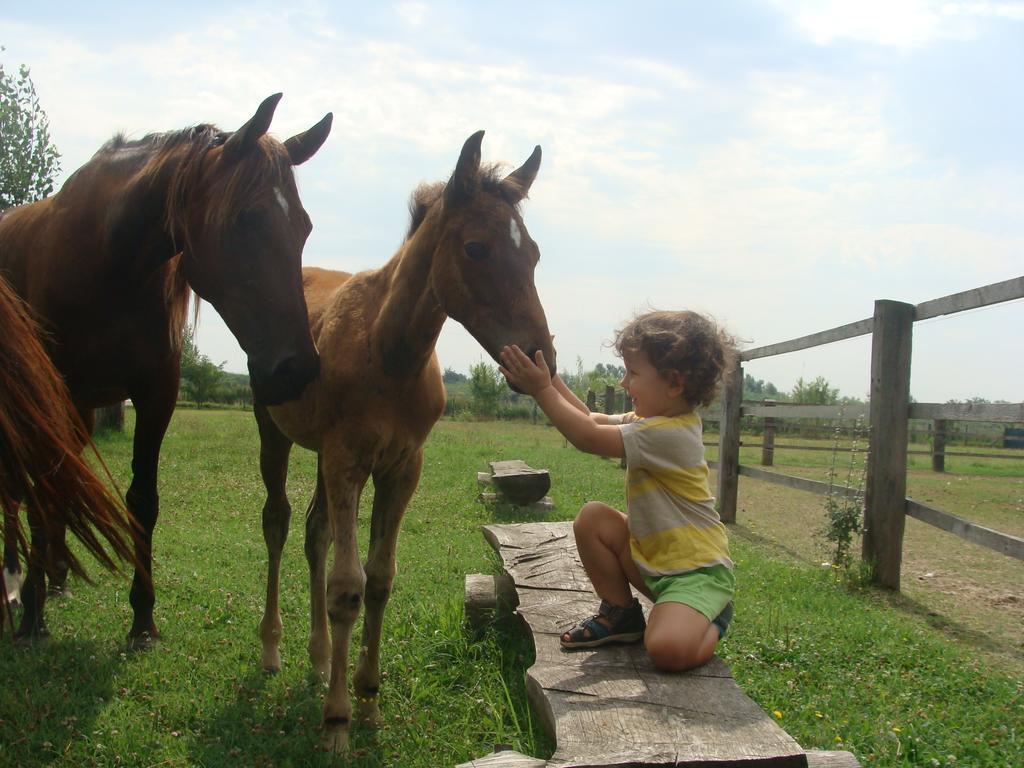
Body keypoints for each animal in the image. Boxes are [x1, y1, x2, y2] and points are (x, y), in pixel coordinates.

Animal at [252, 131, 552, 753]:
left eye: (533, 253)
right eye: (477, 248)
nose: (543, 359)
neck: (387, 351)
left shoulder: (400, 466)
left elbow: (380, 579)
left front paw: (367, 700)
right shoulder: (347, 459)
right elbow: (348, 585)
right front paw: (336, 722)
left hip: (322, 454)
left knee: (315, 532)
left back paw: (320, 659)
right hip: (275, 433)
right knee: (279, 523)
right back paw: (273, 650)